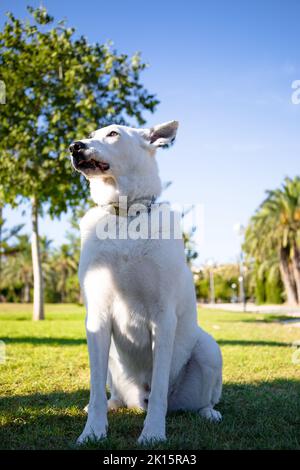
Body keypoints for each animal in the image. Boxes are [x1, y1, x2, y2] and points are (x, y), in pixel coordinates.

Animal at [69, 121, 221, 444]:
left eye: (113, 134)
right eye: (90, 134)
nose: (74, 146)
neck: (126, 217)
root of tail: (139, 399)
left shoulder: (163, 318)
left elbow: (161, 385)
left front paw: (152, 433)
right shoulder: (97, 317)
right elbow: (95, 388)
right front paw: (93, 430)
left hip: (208, 349)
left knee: (202, 400)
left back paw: (209, 412)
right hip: (113, 364)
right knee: (110, 393)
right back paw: (110, 404)